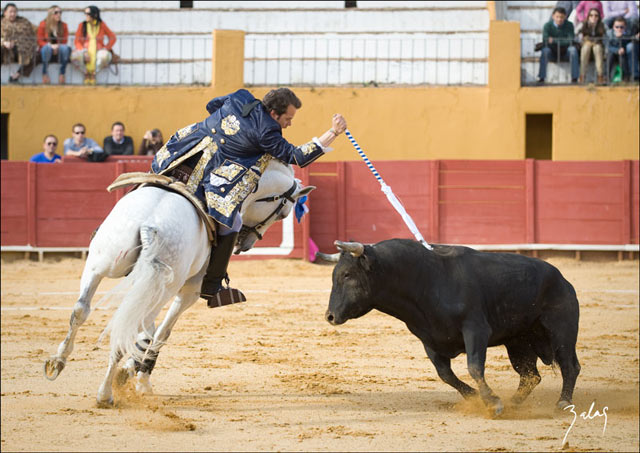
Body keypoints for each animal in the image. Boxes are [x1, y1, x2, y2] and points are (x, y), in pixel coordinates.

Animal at [43, 159, 314, 406]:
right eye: (283, 213)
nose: (244, 245)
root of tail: (150, 223)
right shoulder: (188, 293)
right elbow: (161, 333)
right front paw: (139, 378)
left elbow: (146, 331)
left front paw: (131, 369)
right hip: (164, 286)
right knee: (133, 325)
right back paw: (105, 393)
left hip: (100, 264)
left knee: (82, 309)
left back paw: (58, 362)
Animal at [324, 238, 580, 414]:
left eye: (347, 275)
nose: (330, 316)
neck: (427, 279)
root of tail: (562, 279)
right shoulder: (429, 339)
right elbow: (445, 374)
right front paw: (477, 397)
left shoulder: (476, 329)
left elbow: (474, 367)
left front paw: (492, 402)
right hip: (518, 342)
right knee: (530, 375)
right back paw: (513, 403)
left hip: (561, 332)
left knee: (570, 366)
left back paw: (562, 402)